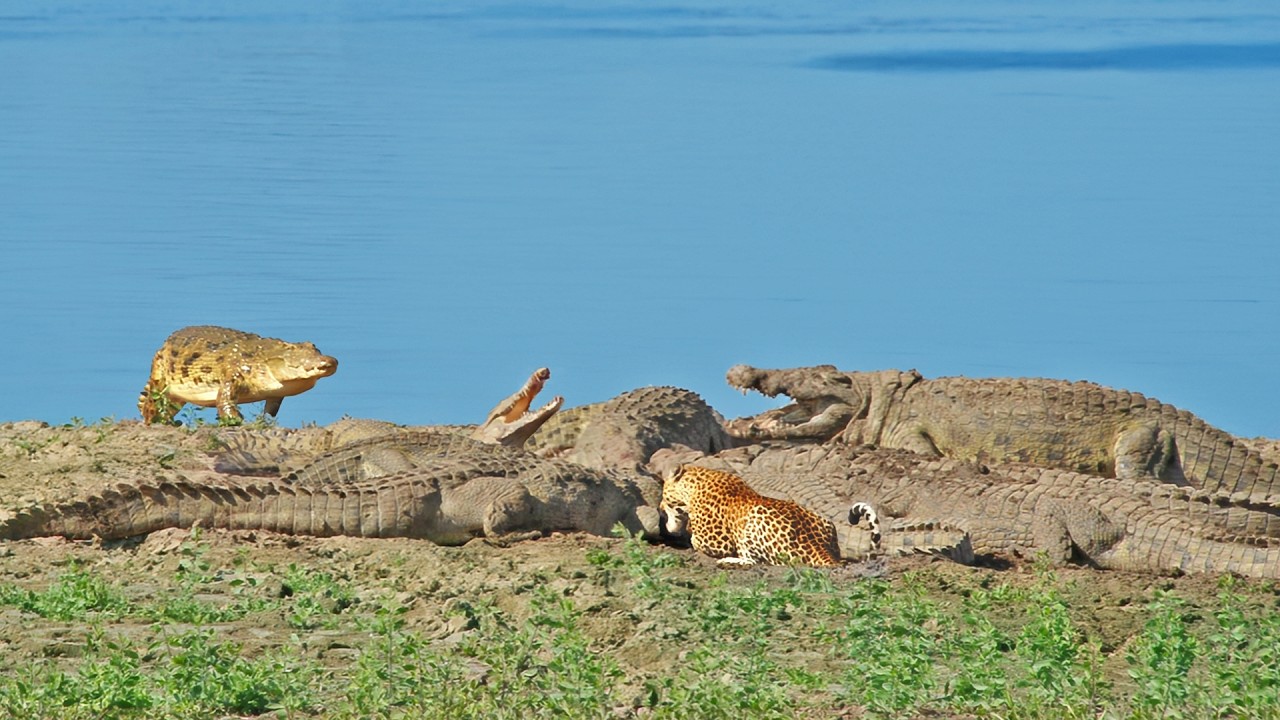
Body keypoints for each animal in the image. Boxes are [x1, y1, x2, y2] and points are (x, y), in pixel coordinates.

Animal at [659, 464, 879, 567]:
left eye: (663, 494)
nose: (660, 507)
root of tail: (820, 549)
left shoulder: (717, 542)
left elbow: (696, 540)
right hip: (827, 523)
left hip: (754, 522)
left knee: (757, 561)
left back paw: (728, 562)